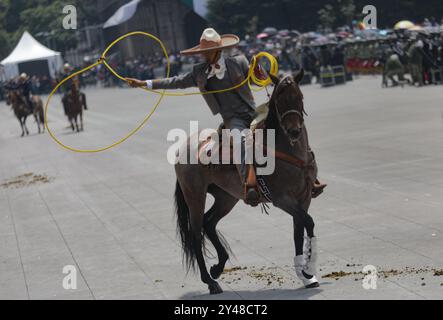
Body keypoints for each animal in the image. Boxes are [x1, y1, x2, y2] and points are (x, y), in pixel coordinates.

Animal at [174, 70, 322, 296]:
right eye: (279, 100)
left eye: (299, 97)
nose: (294, 132)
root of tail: (184, 146)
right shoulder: (283, 199)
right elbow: (309, 222)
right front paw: (309, 266)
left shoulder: (304, 198)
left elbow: (299, 230)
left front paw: (305, 275)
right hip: (195, 196)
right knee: (196, 233)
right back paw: (210, 281)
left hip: (227, 197)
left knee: (209, 222)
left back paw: (218, 267)